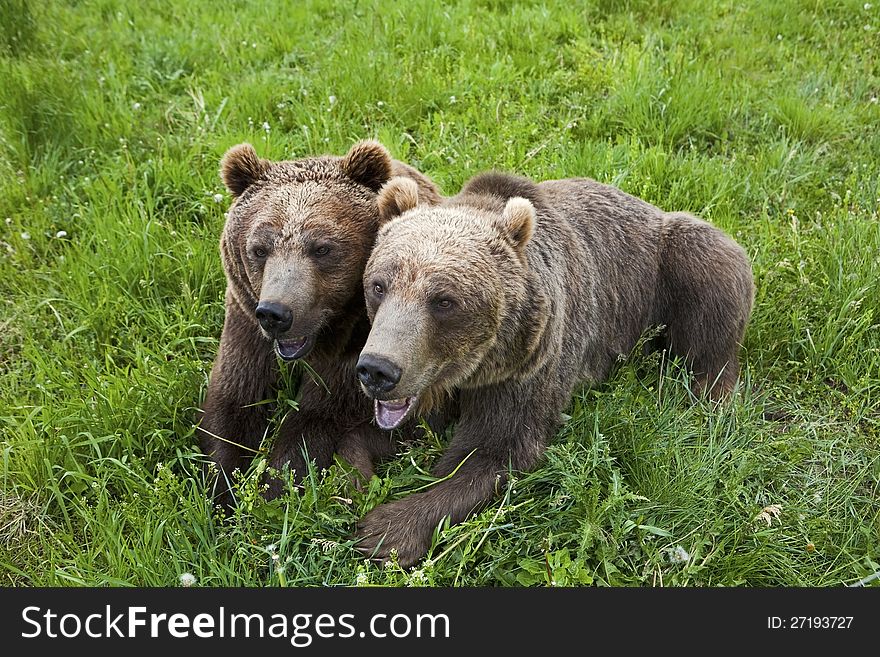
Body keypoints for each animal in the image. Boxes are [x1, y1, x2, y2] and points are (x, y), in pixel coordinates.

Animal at [203, 141, 444, 502]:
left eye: (322, 248)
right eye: (259, 249)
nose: (276, 313)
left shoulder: (364, 342)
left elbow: (320, 418)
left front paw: (275, 487)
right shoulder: (245, 321)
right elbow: (233, 402)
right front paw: (222, 490)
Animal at [354, 169, 752, 564]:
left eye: (444, 301)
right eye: (379, 285)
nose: (378, 370)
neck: (471, 371)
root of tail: (649, 205)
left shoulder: (528, 367)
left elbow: (496, 451)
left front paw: (387, 529)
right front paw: (356, 475)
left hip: (669, 269)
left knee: (710, 291)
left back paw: (708, 396)